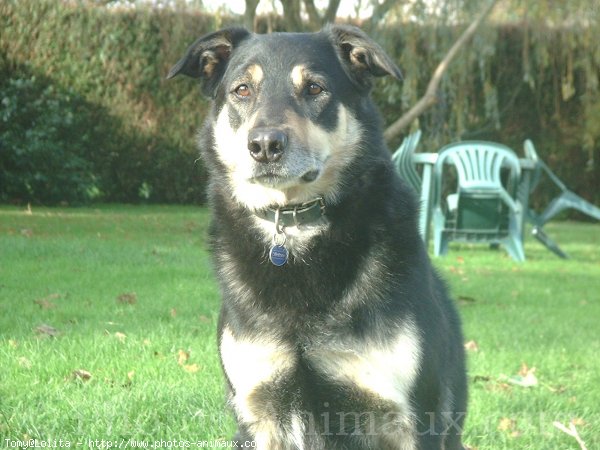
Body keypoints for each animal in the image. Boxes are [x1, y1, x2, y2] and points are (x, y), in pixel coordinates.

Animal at [166, 24, 466, 450]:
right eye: (242, 89)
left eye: (314, 88)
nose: (264, 145)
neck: (295, 225)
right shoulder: (260, 412)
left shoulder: (412, 419)